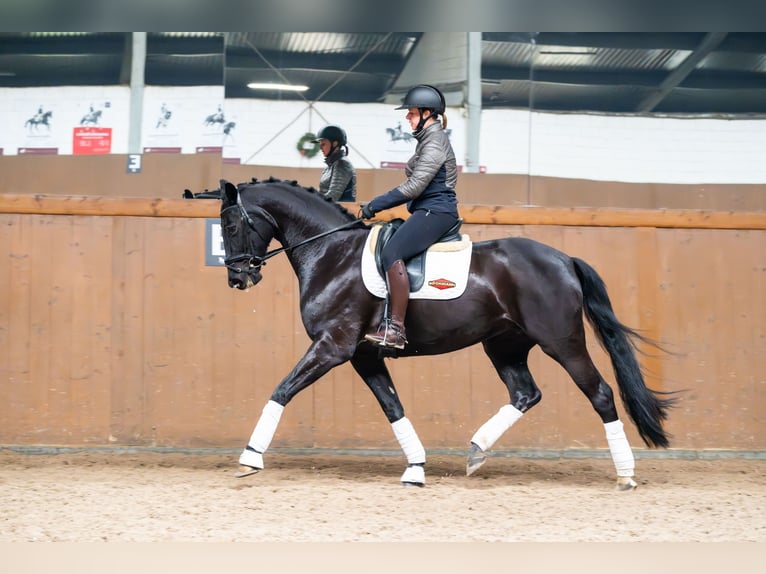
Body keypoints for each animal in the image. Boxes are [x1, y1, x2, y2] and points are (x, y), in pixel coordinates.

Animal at [219, 177, 676, 490]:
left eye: (232, 225)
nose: (238, 278)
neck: (332, 254)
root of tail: (564, 259)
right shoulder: (363, 354)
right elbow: (392, 406)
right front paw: (416, 467)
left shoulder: (333, 346)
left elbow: (282, 390)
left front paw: (250, 457)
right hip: (504, 345)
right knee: (525, 393)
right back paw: (475, 452)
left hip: (561, 342)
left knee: (600, 393)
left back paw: (625, 474)